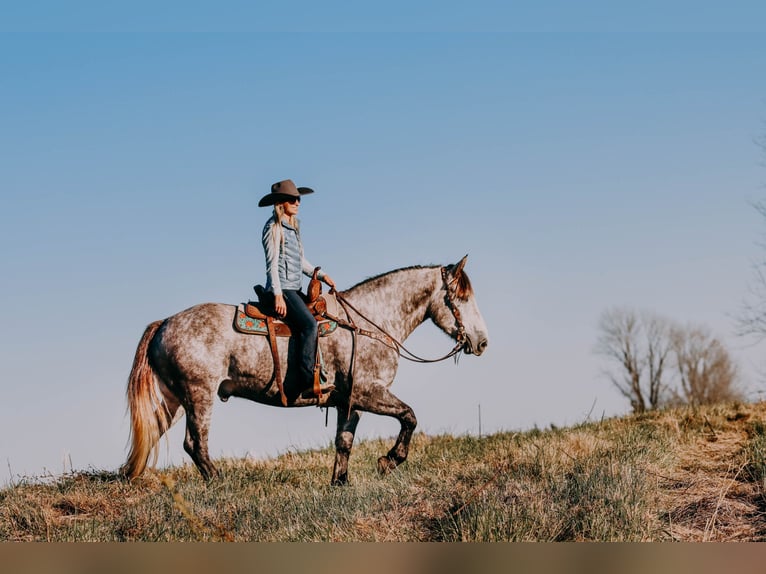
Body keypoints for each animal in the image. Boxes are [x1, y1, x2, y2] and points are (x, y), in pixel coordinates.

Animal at [122, 258, 488, 486]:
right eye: (462, 298)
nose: (482, 341)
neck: (369, 322)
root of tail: (164, 324)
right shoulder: (370, 392)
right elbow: (409, 416)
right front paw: (389, 460)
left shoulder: (349, 401)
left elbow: (344, 441)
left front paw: (339, 483)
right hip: (199, 395)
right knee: (195, 443)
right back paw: (217, 480)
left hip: (174, 400)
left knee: (154, 432)